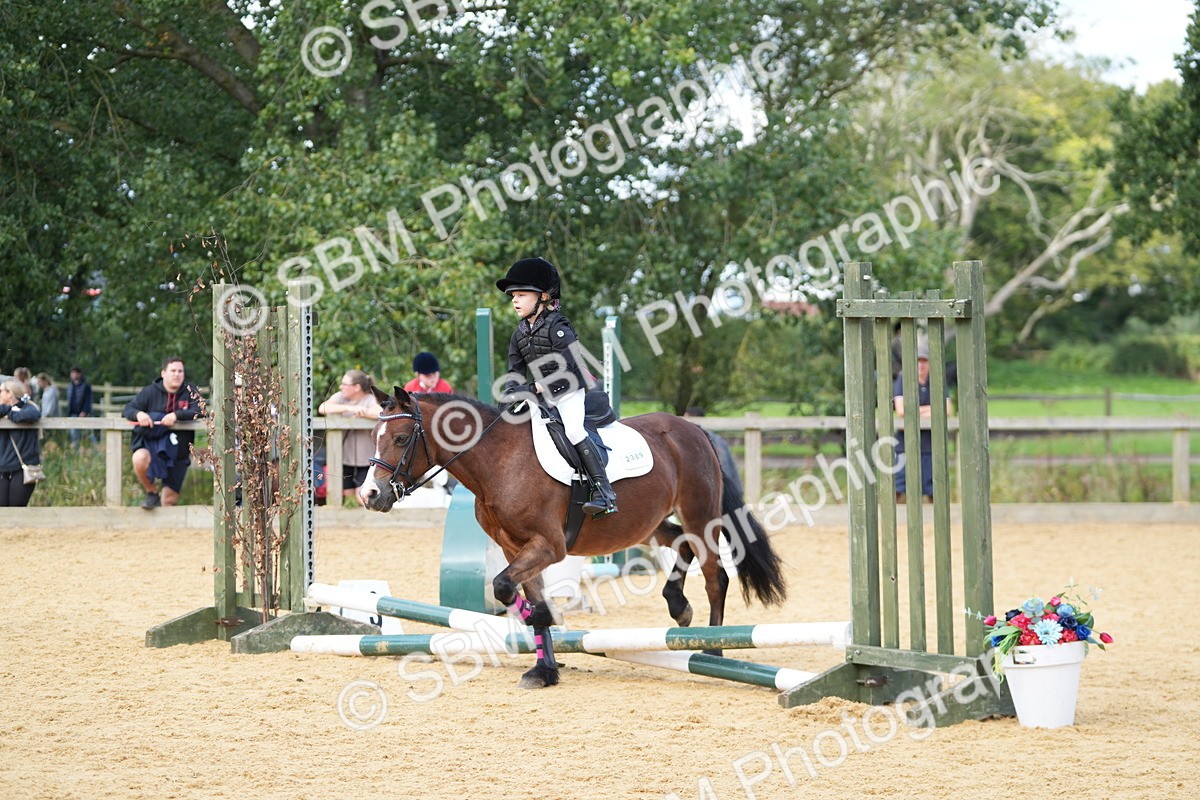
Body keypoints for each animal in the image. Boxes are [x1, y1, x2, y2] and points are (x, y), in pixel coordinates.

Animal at [360, 387, 787, 689]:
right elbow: (521, 592)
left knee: (716, 575)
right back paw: (678, 606)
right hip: (649, 526)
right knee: (682, 544)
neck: (499, 462)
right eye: (373, 435)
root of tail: (694, 428)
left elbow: (504, 587)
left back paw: (714, 649)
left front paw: (547, 621)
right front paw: (545, 669)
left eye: (401, 439)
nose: (369, 495)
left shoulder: (548, 546)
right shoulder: (515, 547)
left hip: (701, 514)